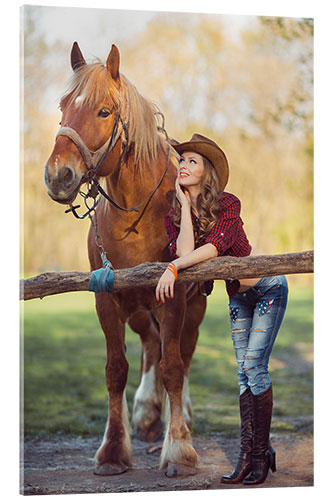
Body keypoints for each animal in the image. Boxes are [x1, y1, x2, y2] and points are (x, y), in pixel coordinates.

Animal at [43, 41, 206, 474]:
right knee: (151, 343)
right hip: (137, 309)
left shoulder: (175, 297)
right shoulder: (108, 299)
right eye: (63, 106)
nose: (58, 176)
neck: (136, 215)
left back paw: (179, 415)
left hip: (194, 307)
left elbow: (174, 367)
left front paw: (178, 448)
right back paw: (148, 412)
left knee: (183, 353)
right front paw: (114, 449)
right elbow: (117, 370)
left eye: (103, 111)